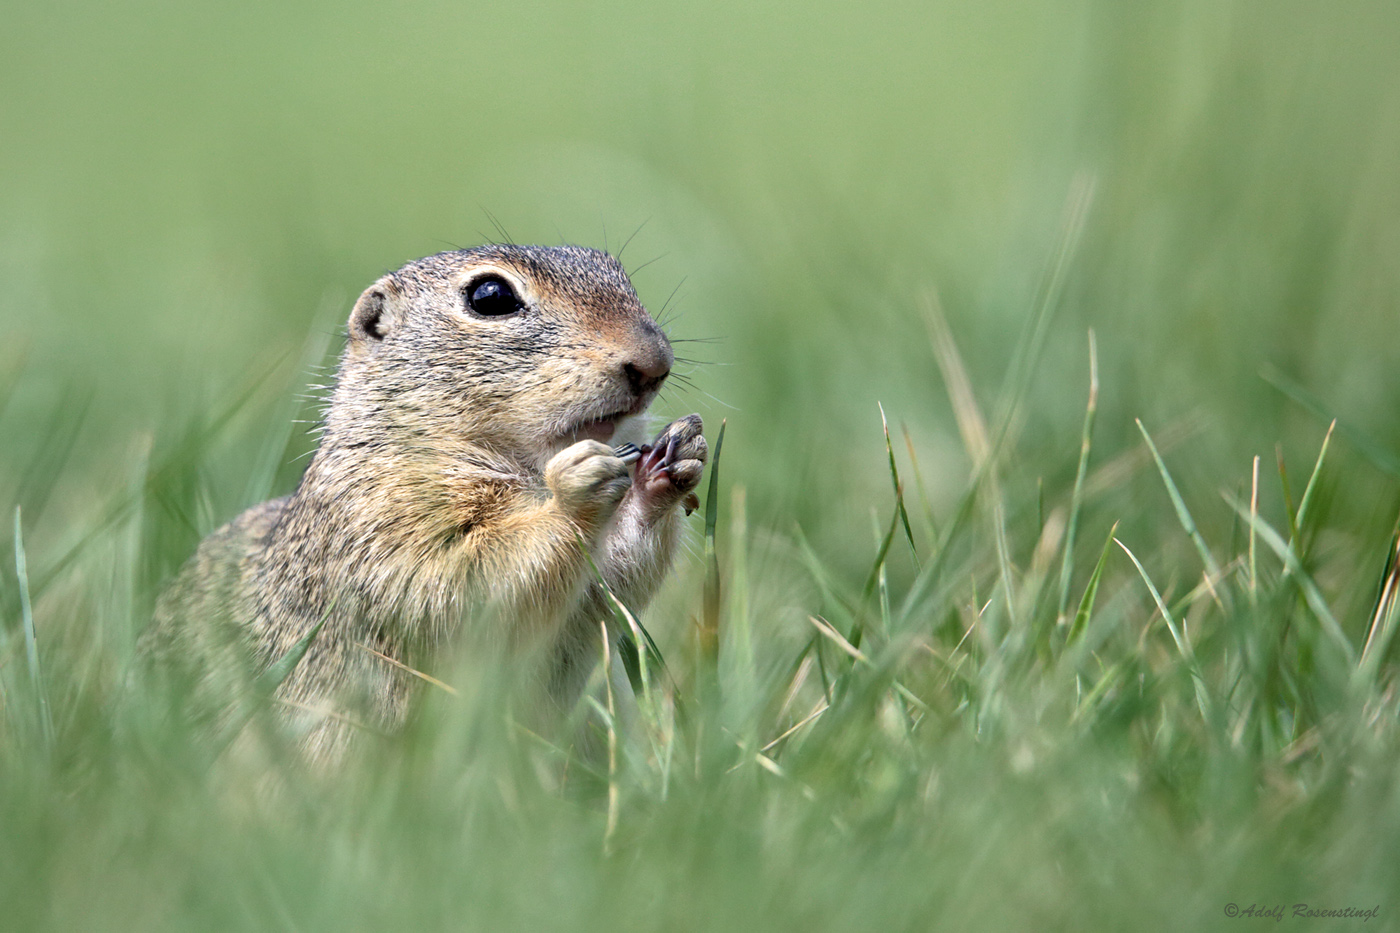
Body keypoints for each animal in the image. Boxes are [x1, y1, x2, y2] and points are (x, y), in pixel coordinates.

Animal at [142, 245, 705, 762]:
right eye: (490, 296)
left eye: (618, 271)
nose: (655, 362)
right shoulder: (379, 517)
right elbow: (463, 584)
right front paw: (575, 487)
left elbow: (609, 588)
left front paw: (671, 465)